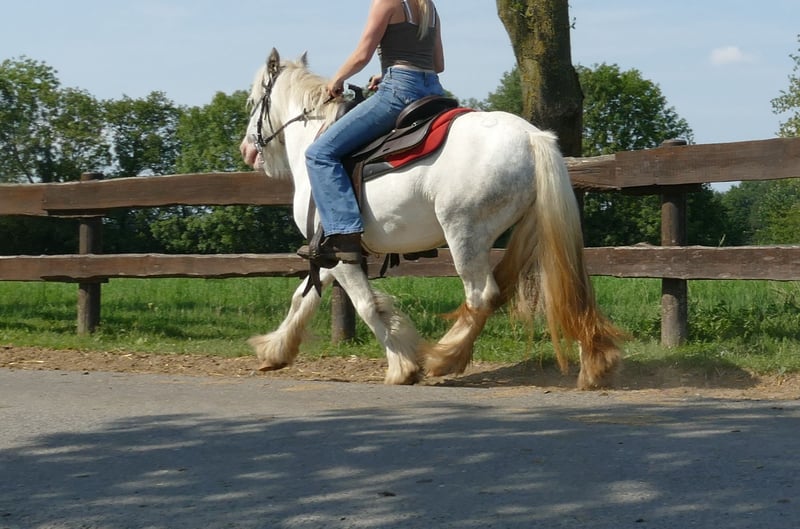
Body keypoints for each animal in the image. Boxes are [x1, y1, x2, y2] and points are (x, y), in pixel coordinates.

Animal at [242, 49, 624, 389]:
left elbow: (366, 306)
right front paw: (275, 350)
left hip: (464, 235)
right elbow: (303, 298)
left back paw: (444, 356)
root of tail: (533, 137)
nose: (247, 150)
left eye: (252, 101)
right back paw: (596, 361)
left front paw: (402, 366)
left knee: (482, 295)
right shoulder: (330, 252)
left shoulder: (340, 253)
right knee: (569, 294)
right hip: (534, 231)